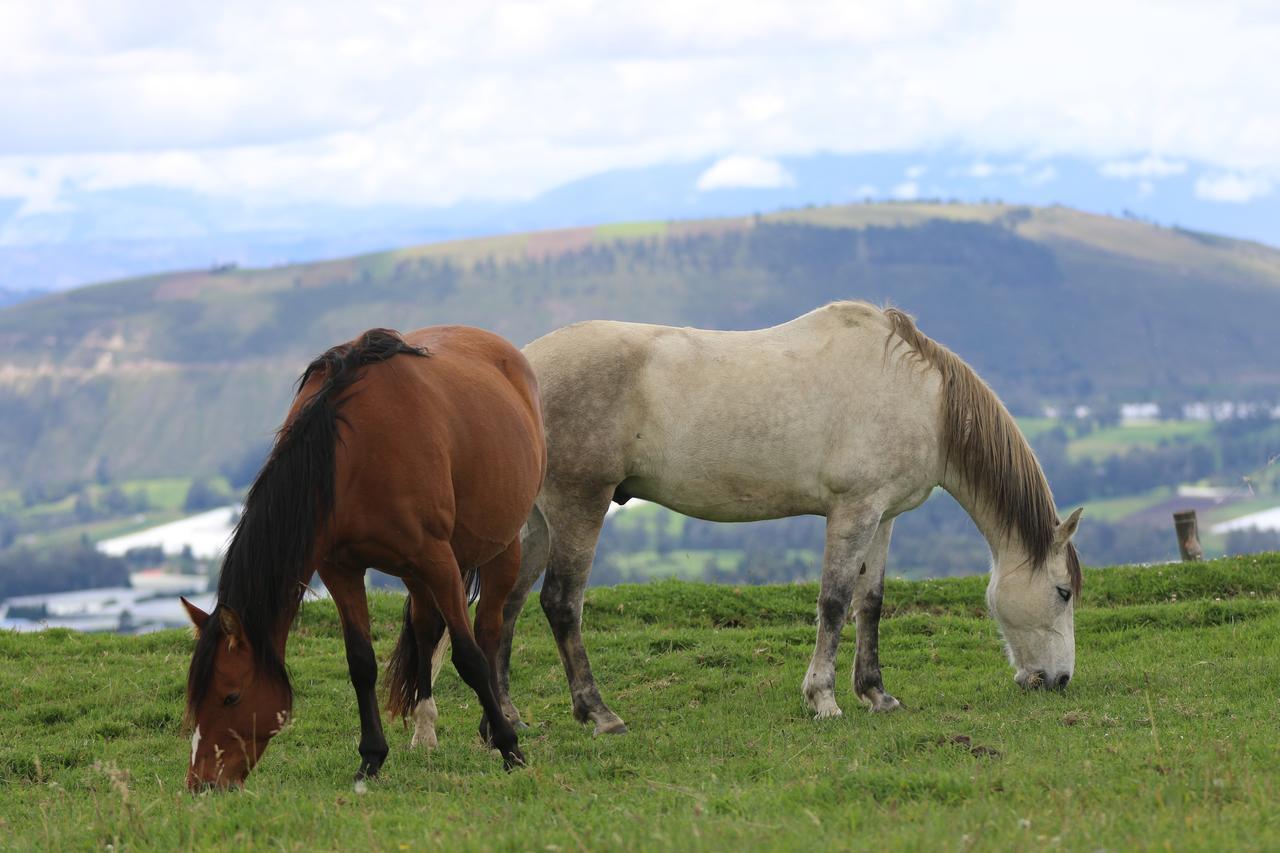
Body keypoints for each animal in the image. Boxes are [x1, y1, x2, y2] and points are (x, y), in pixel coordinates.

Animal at [179, 322, 545, 788]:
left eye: (231, 696)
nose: (201, 782)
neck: (349, 452)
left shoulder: (438, 560)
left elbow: (469, 657)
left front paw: (510, 747)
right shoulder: (342, 569)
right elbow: (361, 663)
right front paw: (371, 757)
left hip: (499, 548)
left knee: (488, 631)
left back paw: (491, 728)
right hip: (414, 572)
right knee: (425, 628)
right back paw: (425, 730)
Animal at [494, 300, 1085, 732]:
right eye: (1062, 592)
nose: (1058, 679)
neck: (921, 397)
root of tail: (520, 367)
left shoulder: (882, 516)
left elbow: (870, 603)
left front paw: (876, 693)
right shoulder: (853, 511)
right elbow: (835, 602)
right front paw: (823, 698)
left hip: (537, 522)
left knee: (507, 603)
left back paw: (507, 718)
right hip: (578, 506)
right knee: (560, 604)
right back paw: (598, 713)